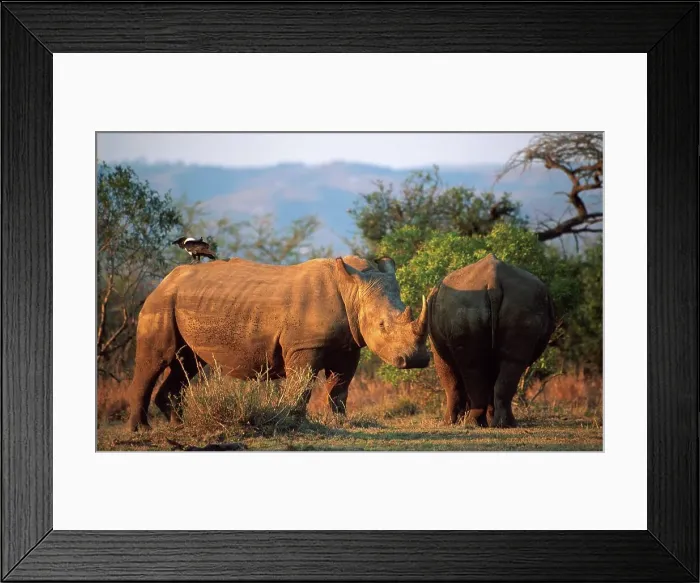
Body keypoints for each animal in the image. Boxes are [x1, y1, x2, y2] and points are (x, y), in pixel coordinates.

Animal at [127, 255, 431, 431]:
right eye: (382, 325)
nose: (417, 360)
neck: (352, 288)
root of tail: (164, 280)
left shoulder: (350, 345)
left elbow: (340, 387)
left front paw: (340, 422)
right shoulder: (304, 346)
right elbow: (302, 385)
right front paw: (293, 422)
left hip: (182, 301)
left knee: (187, 364)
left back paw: (179, 425)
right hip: (161, 302)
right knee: (156, 361)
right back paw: (142, 430)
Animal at [427, 254, 556, 428]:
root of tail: (492, 280)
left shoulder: (438, 349)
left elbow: (451, 383)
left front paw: (448, 422)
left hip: (467, 305)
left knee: (472, 365)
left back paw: (474, 423)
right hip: (522, 301)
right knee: (511, 362)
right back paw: (504, 424)